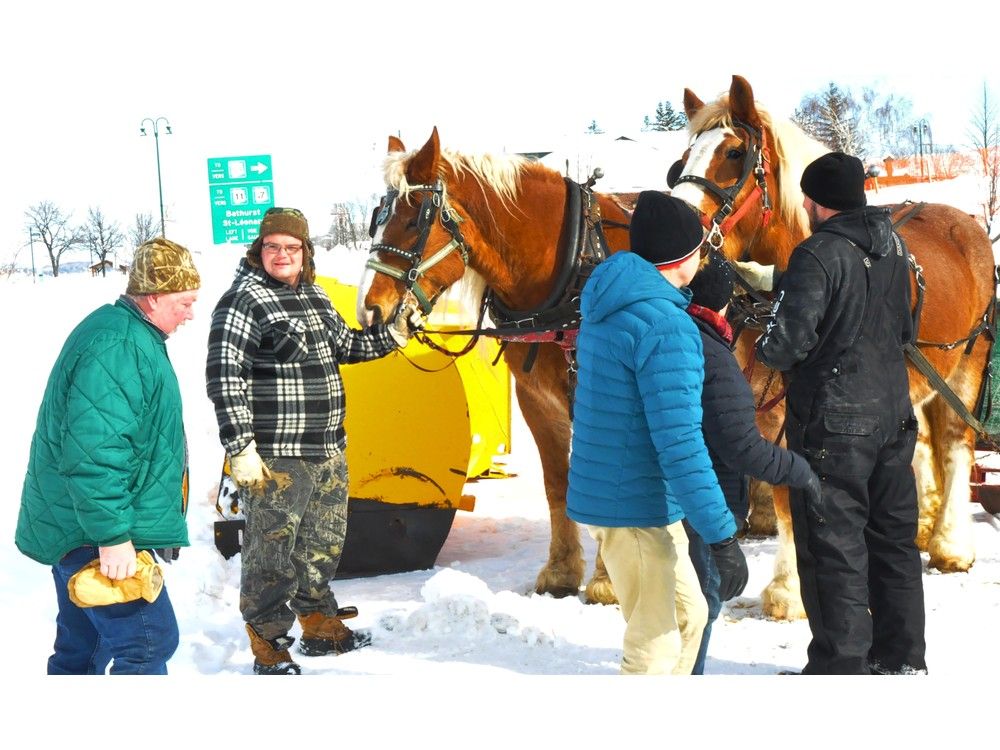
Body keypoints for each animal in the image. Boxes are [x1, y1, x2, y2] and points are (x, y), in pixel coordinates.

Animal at [356, 129, 628, 604]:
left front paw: (608, 581)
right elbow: (557, 483)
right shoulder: (536, 397)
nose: (369, 311)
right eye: (377, 219)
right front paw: (560, 572)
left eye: (413, 220)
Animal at [668, 75, 996, 624]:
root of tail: (968, 222)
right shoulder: (771, 407)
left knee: (954, 445)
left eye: (734, 153)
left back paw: (951, 545)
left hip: (966, 365)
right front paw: (789, 586)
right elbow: (785, 491)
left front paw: (796, 587)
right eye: (684, 157)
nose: (683, 231)